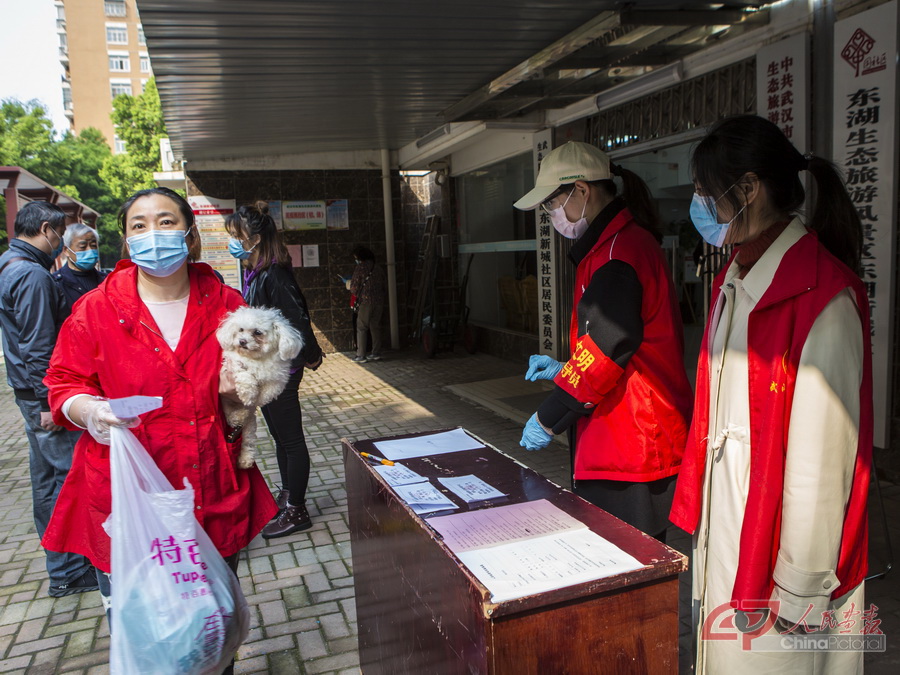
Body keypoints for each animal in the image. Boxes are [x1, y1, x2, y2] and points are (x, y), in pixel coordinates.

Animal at [216, 308, 304, 470]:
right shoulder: (233, 365)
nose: (242, 341)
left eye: (257, 332)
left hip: (250, 426)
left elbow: (266, 393)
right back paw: (238, 415)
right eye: (241, 329)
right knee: (231, 417)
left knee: (248, 440)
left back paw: (245, 458)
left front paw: (255, 399)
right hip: (226, 408)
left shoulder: (278, 379)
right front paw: (249, 394)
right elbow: (245, 376)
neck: (257, 359)